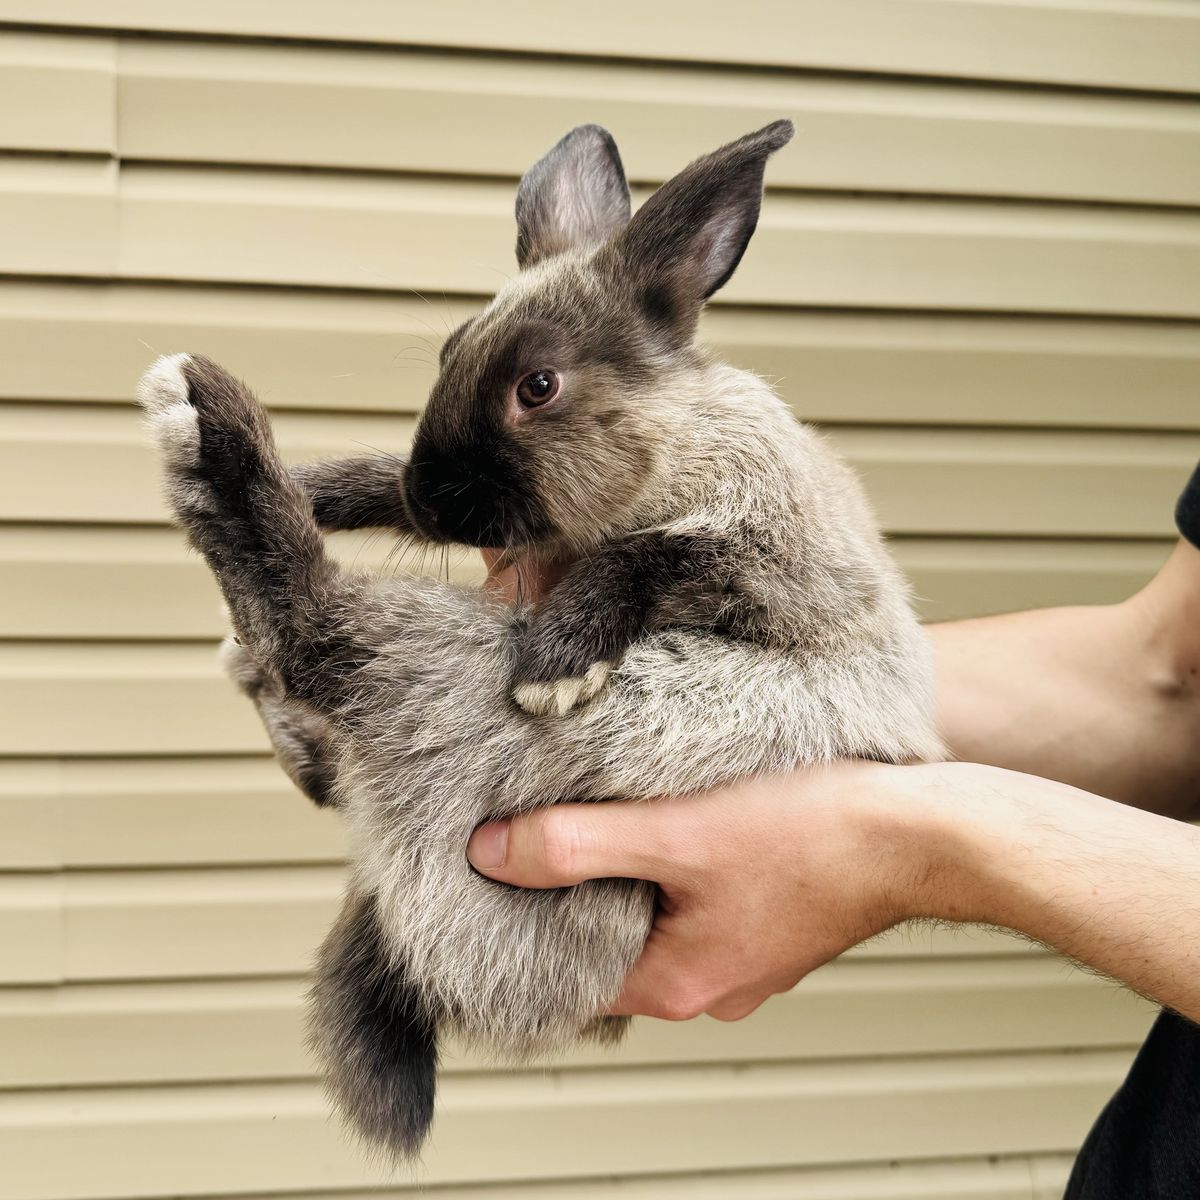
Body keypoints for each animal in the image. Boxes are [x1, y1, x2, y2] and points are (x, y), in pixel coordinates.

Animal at [136, 119, 942, 1161]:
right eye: (449, 349)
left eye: (539, 386)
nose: (437, 499)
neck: (673, 442)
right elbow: (379, 483)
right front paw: (327, 485)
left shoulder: (780, 566)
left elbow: (657, 554)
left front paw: (559, 660)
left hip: (485, 692)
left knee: (321, 637)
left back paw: (207, 429)